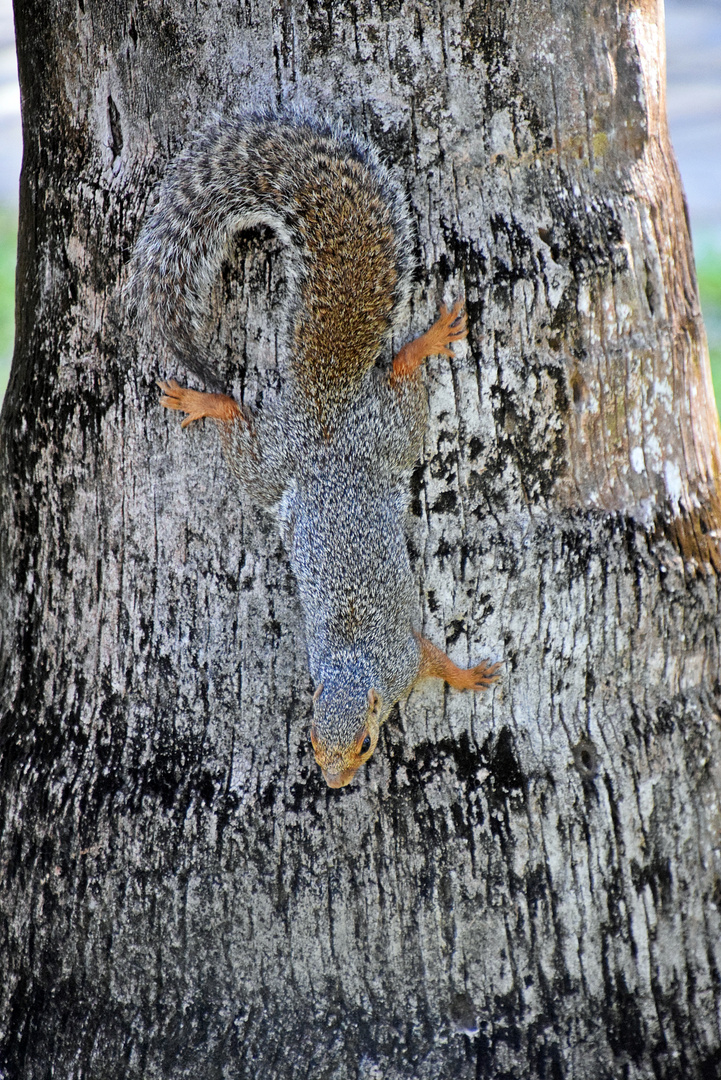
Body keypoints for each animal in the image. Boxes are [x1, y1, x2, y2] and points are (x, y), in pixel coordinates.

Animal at [131, 111, 500, 786]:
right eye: (309, 739)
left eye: (366, 746)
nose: (333, 783)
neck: (356, 665)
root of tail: (325, 411)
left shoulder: (405, 657)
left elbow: (435, 659)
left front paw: (467, 676)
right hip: (289, 461)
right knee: (248, 421)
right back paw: (207, 400)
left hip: (372, 437)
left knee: (395, 379)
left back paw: (426, 339)